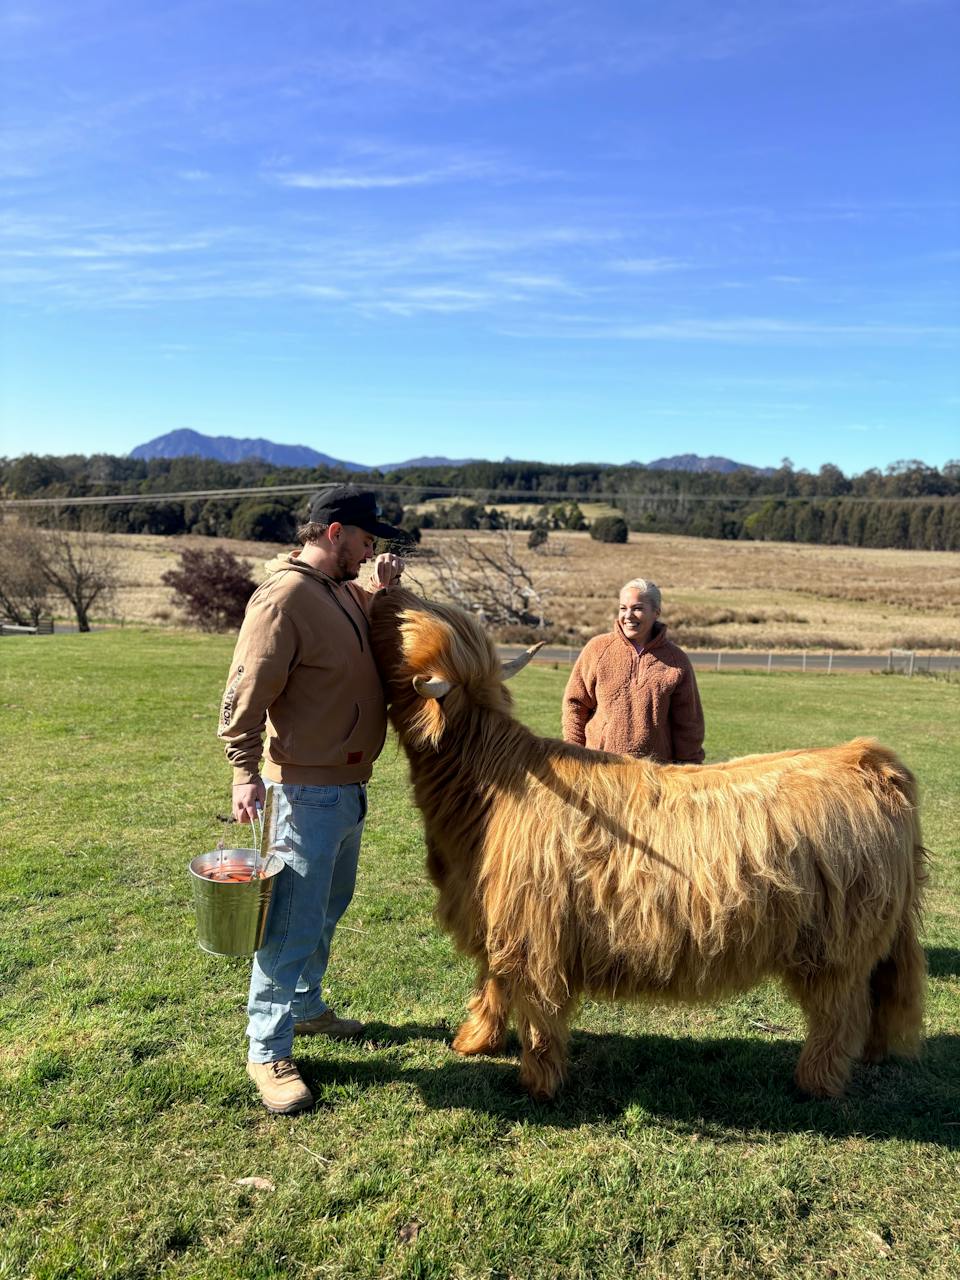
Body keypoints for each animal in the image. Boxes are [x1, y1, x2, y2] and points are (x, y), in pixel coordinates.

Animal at [369, 588, 926, 1102]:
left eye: (397, 631)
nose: (385, 587)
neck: (485, 790)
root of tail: (869, 761)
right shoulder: (492, 915)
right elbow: (493, 983)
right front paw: (475, 1041)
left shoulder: (533, 927)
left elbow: (536, 1005)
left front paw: (538, 1082)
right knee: (875, 1002)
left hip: (835, 946)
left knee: (840, 1012)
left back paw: (816, 1082)